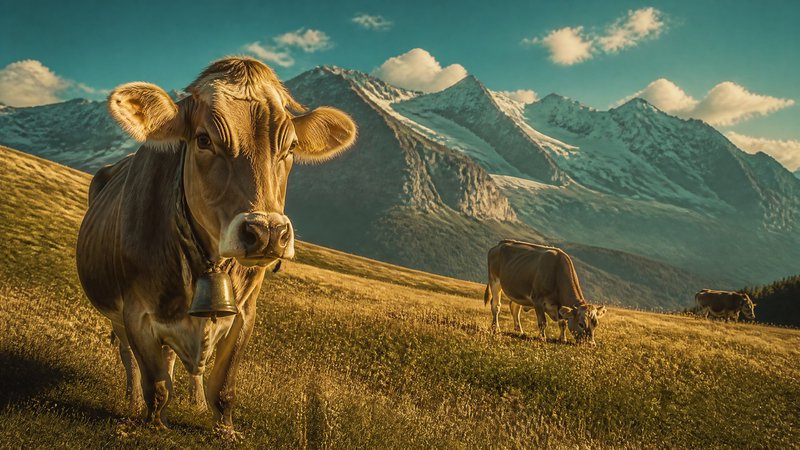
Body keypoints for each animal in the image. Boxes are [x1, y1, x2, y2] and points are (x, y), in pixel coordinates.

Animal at [76, 57, 356, 437]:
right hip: (116, 316)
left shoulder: (245, 312)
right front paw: (154, 423)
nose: (267, 232)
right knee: (129, 360)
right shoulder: (136, 313)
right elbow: (155, 382)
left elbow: (222, 385)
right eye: (203, 139)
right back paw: (131, 403)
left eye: (290, 148)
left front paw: (224, 429)